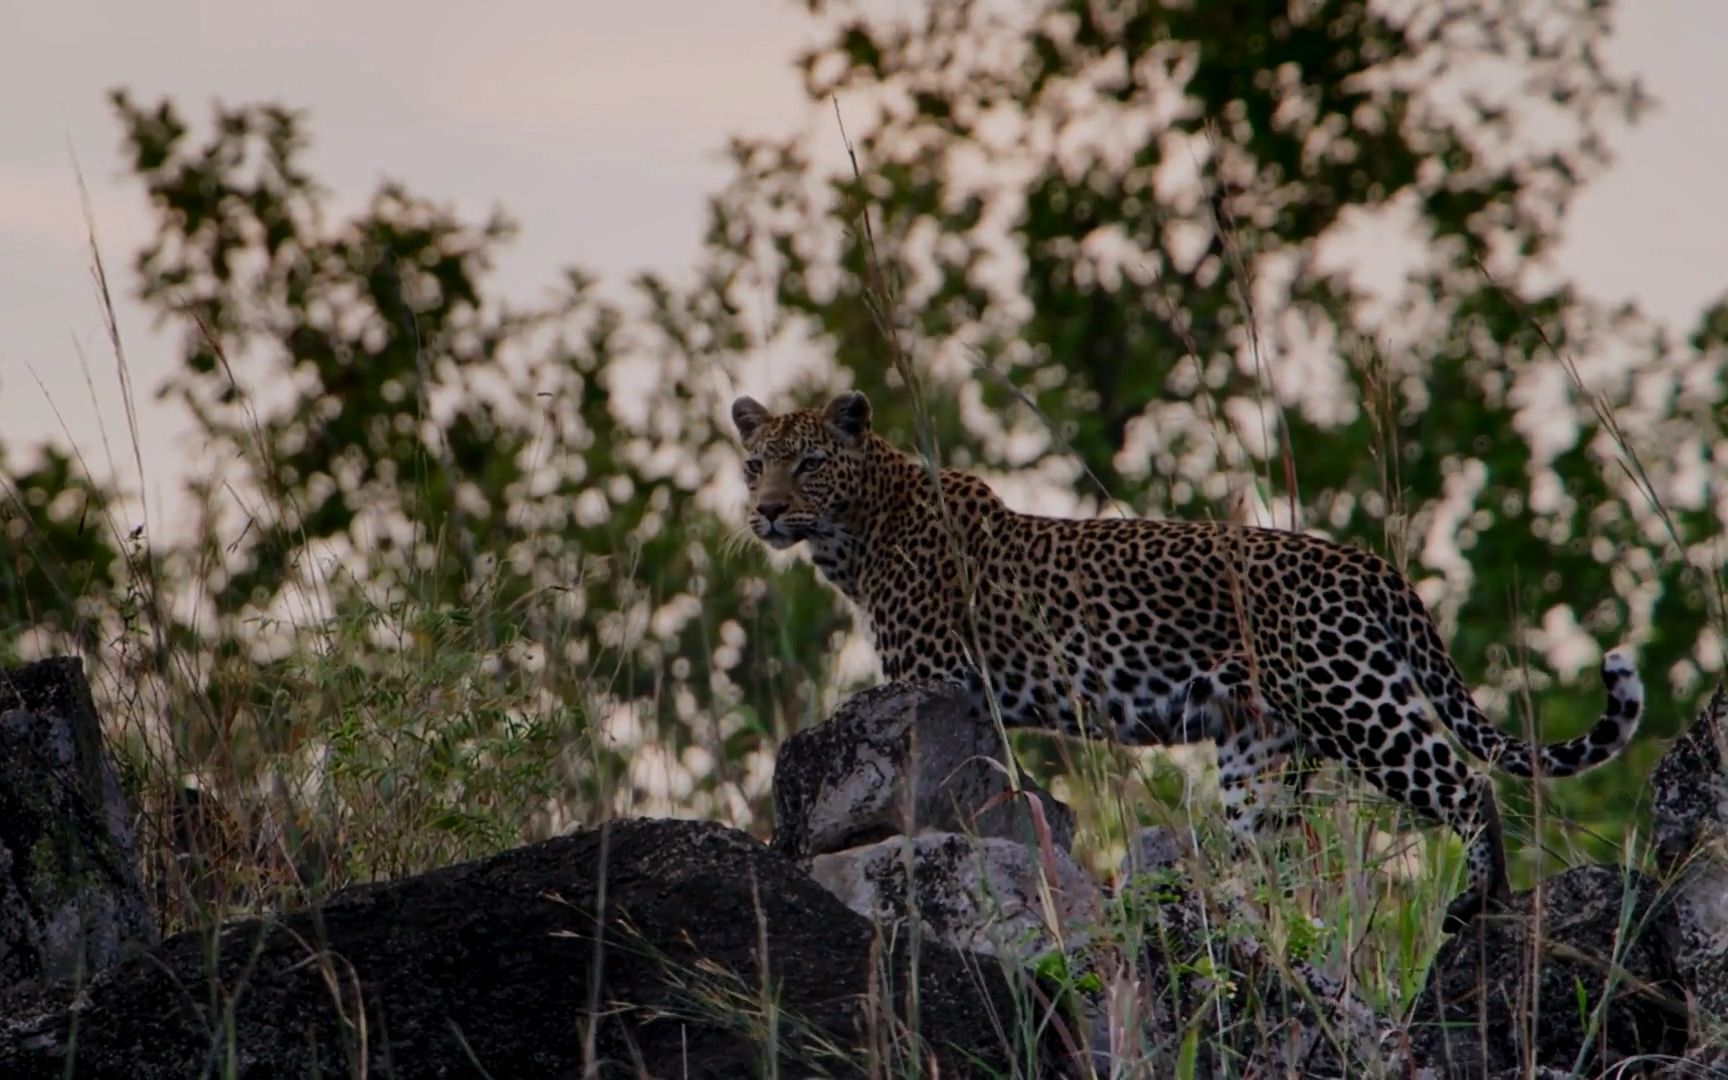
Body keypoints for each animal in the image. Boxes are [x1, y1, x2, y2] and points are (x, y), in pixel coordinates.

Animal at [732, 392, 1645, 933]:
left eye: (810, 463)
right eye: (753, 464)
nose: (766, 511)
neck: (855, 532)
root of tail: (1370, 563)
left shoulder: (931, 678)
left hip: (1354, 699)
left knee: (1467, 784)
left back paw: (1478, 903)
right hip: (1261, 753)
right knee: (1279, 857)